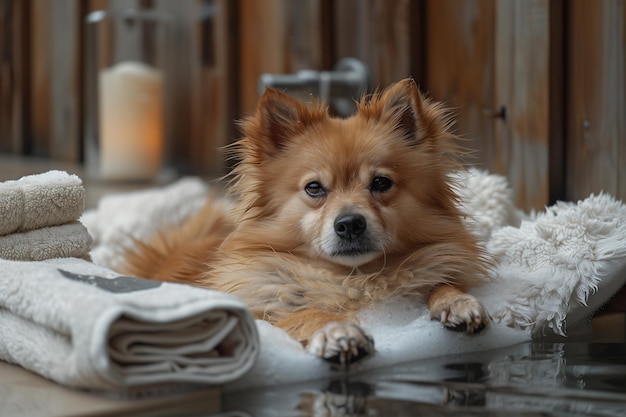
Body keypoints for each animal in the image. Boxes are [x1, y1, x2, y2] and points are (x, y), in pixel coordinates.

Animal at [122, 77, 490, 364]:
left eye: (381, 183)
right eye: (314, 188)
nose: (349, 223)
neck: (355, 279)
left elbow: (441, 283)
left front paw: (456, 301)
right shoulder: (258, 312)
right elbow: (305, 311)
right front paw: (336, 329)